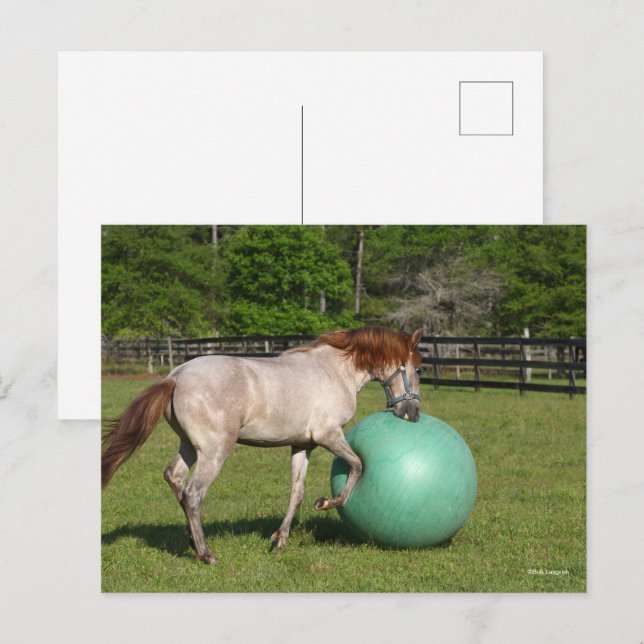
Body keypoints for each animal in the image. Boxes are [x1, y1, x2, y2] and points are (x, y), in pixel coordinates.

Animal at [101, 326, 422, 565]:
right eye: (418, 370)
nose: (413, 414)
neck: (336, 371)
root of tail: (175, 377)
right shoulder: (329, 435)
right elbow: (357, 465)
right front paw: (328, 502)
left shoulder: (303, 445)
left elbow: (296, 492)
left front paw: (279, 540)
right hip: (214, 452)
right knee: (193, 494)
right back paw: (206, 554)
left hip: (190, 446)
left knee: (174, 478)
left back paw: (192, 541)